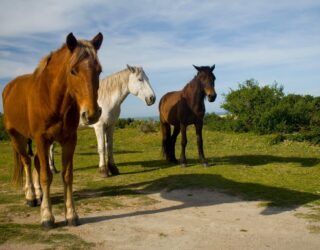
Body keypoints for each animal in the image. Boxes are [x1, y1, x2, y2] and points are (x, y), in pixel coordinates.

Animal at [1, 32, 103, 229]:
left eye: (99, 70)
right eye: (73, 70)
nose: (92, 114)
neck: (51, 97)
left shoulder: (69, 139)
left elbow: (67, 175)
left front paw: (71, 214)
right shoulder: (42, 139)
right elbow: (46, 176)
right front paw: (47, 217)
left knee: (36, 163)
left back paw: (39, 195)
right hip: (16, 137)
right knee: (27, 162)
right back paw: (30, 196)